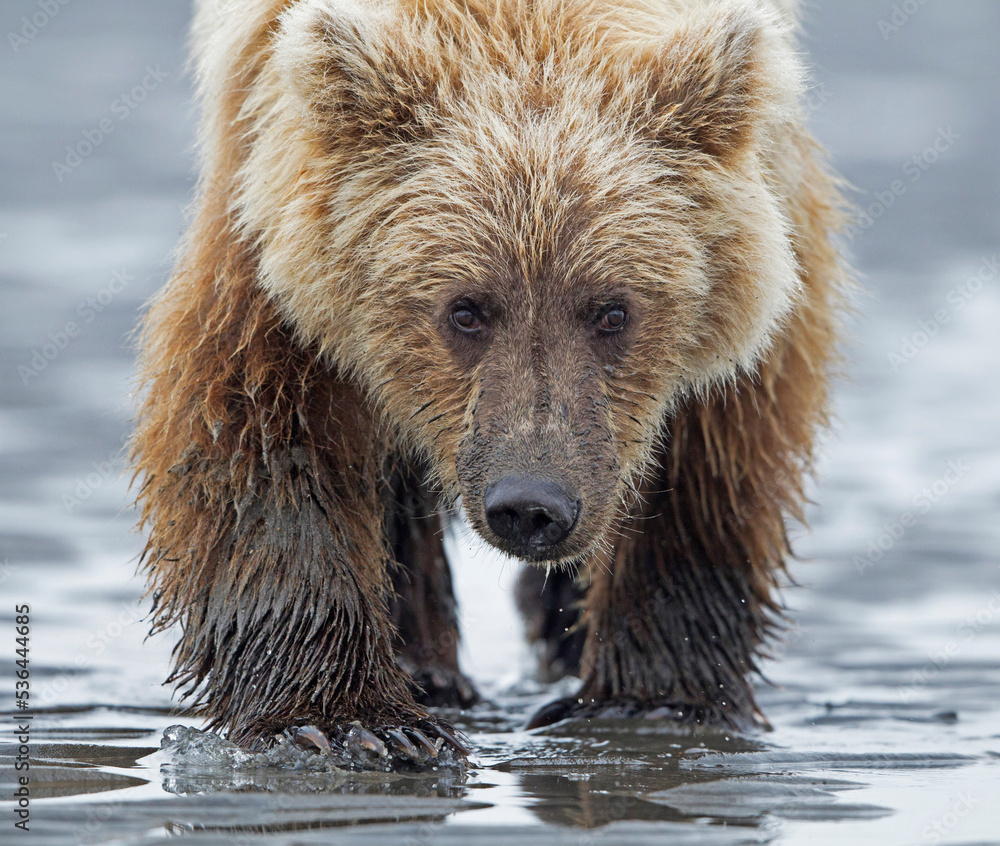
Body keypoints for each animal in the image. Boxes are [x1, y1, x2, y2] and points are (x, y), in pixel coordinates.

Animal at [131, 0, 846, 762]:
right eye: (465, 309)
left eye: (612, 310)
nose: (531, 504)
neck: (527, 26)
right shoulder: (275, 234)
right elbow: (262, 438)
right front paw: (353, 721)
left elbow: (711, 463)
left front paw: (650, 700)